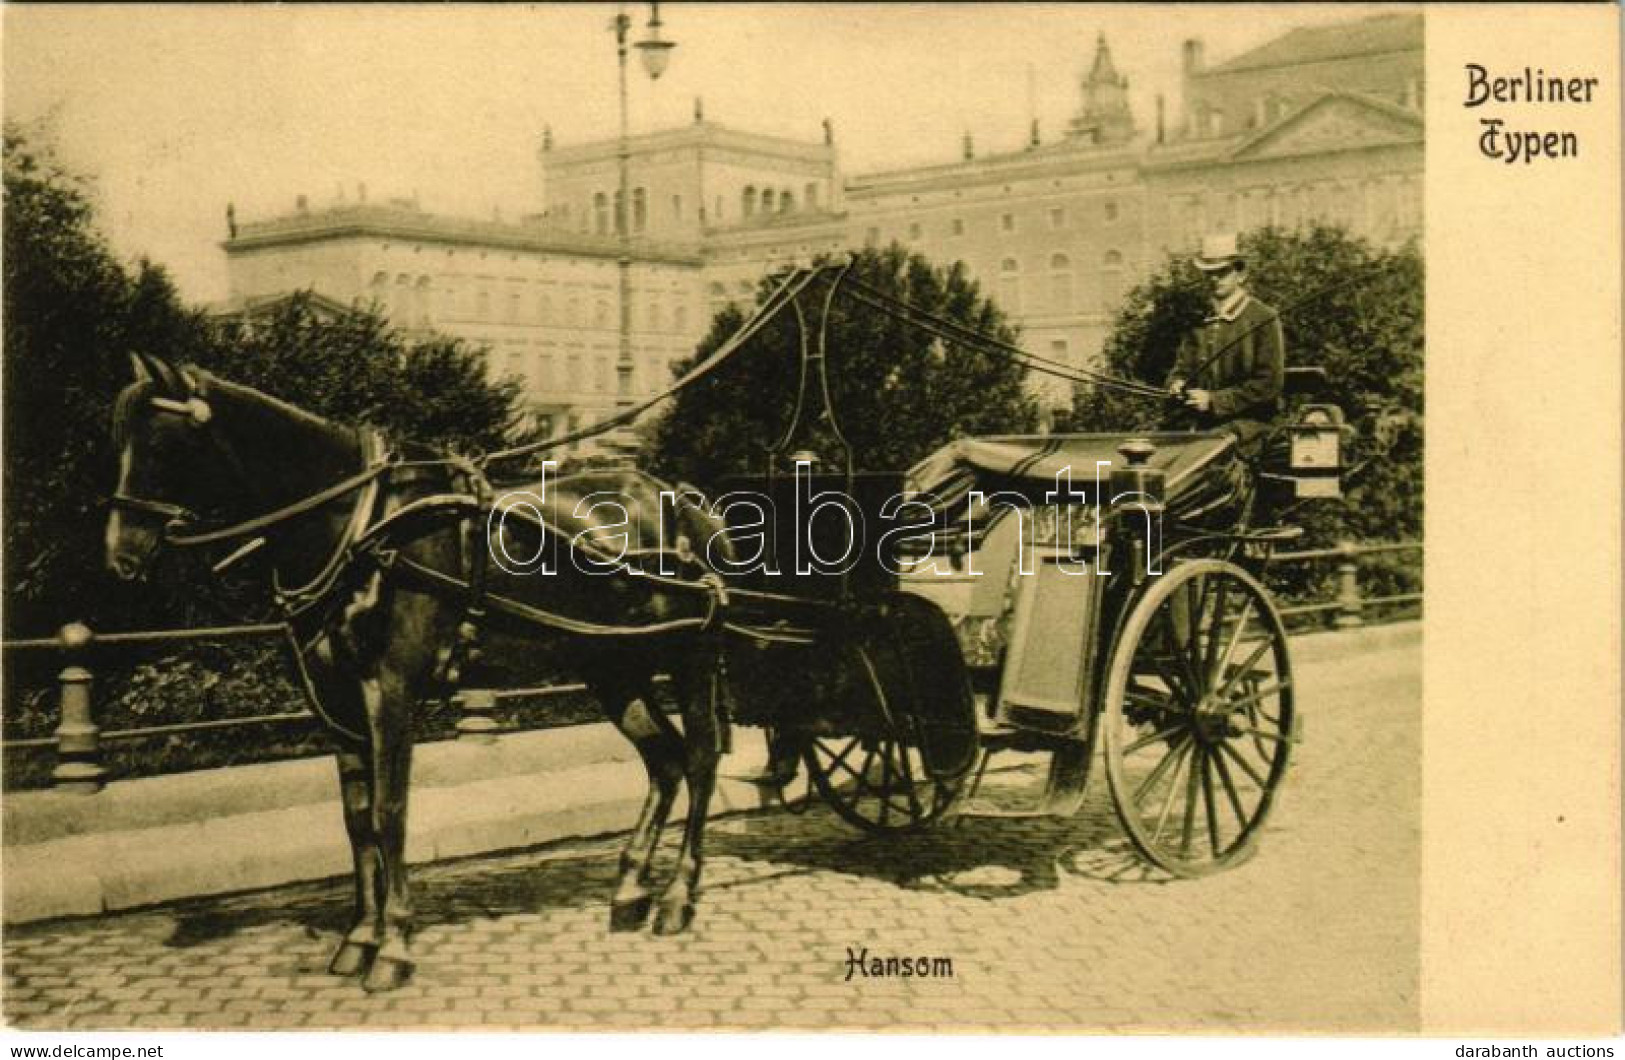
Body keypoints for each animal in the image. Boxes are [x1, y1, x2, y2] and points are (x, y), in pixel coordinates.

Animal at [114, 357, 744, 994]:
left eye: (160, 447)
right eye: (119, 441)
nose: (120, 557)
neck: (364, 525)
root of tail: (683, 501)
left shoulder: (390, 691)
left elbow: (390, 811)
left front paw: (392, 942)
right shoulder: (337, 704)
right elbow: (357, 819)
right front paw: (359, 937)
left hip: (690, 658)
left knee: (699, 760)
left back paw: (677, 895)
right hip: (613, 667)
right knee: (664, 760)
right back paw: (630, 888)